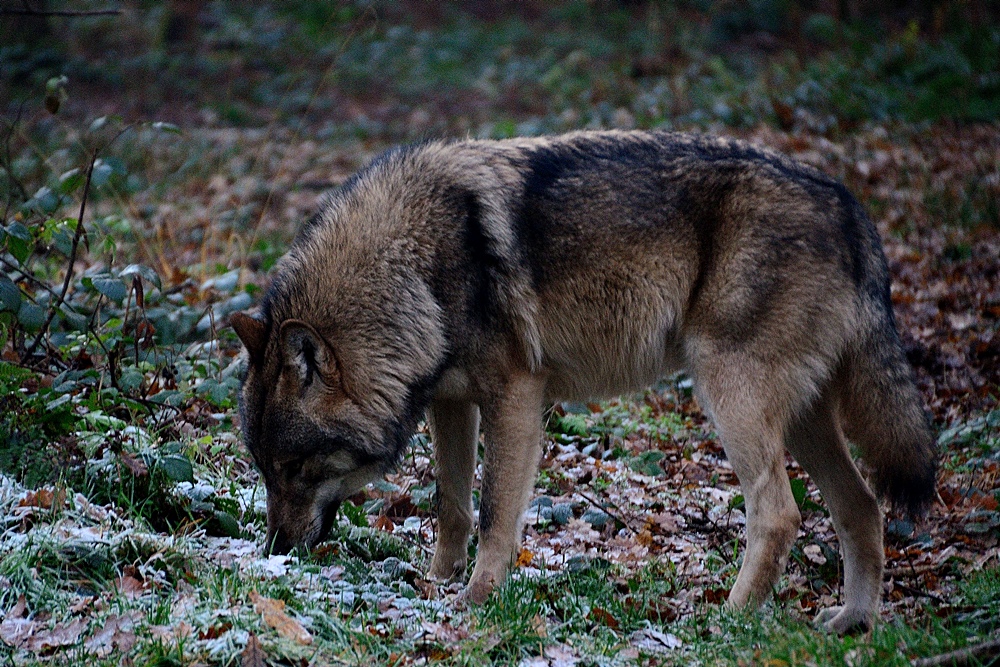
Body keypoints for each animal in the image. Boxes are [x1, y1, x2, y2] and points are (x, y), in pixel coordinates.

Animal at [232, 129, 936, 632]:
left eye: (296, 468)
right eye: (265, 469)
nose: (276, 549)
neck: (412, 268)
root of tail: (850, 207)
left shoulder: (515, 396)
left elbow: (495, 511)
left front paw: (475, 600)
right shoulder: (451, 402)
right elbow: (451, 505)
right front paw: (438, 584)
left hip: (729, 396)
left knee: (781, 514)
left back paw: (729, 621)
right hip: (804, 420)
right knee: (863, 506)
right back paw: (853, 622)